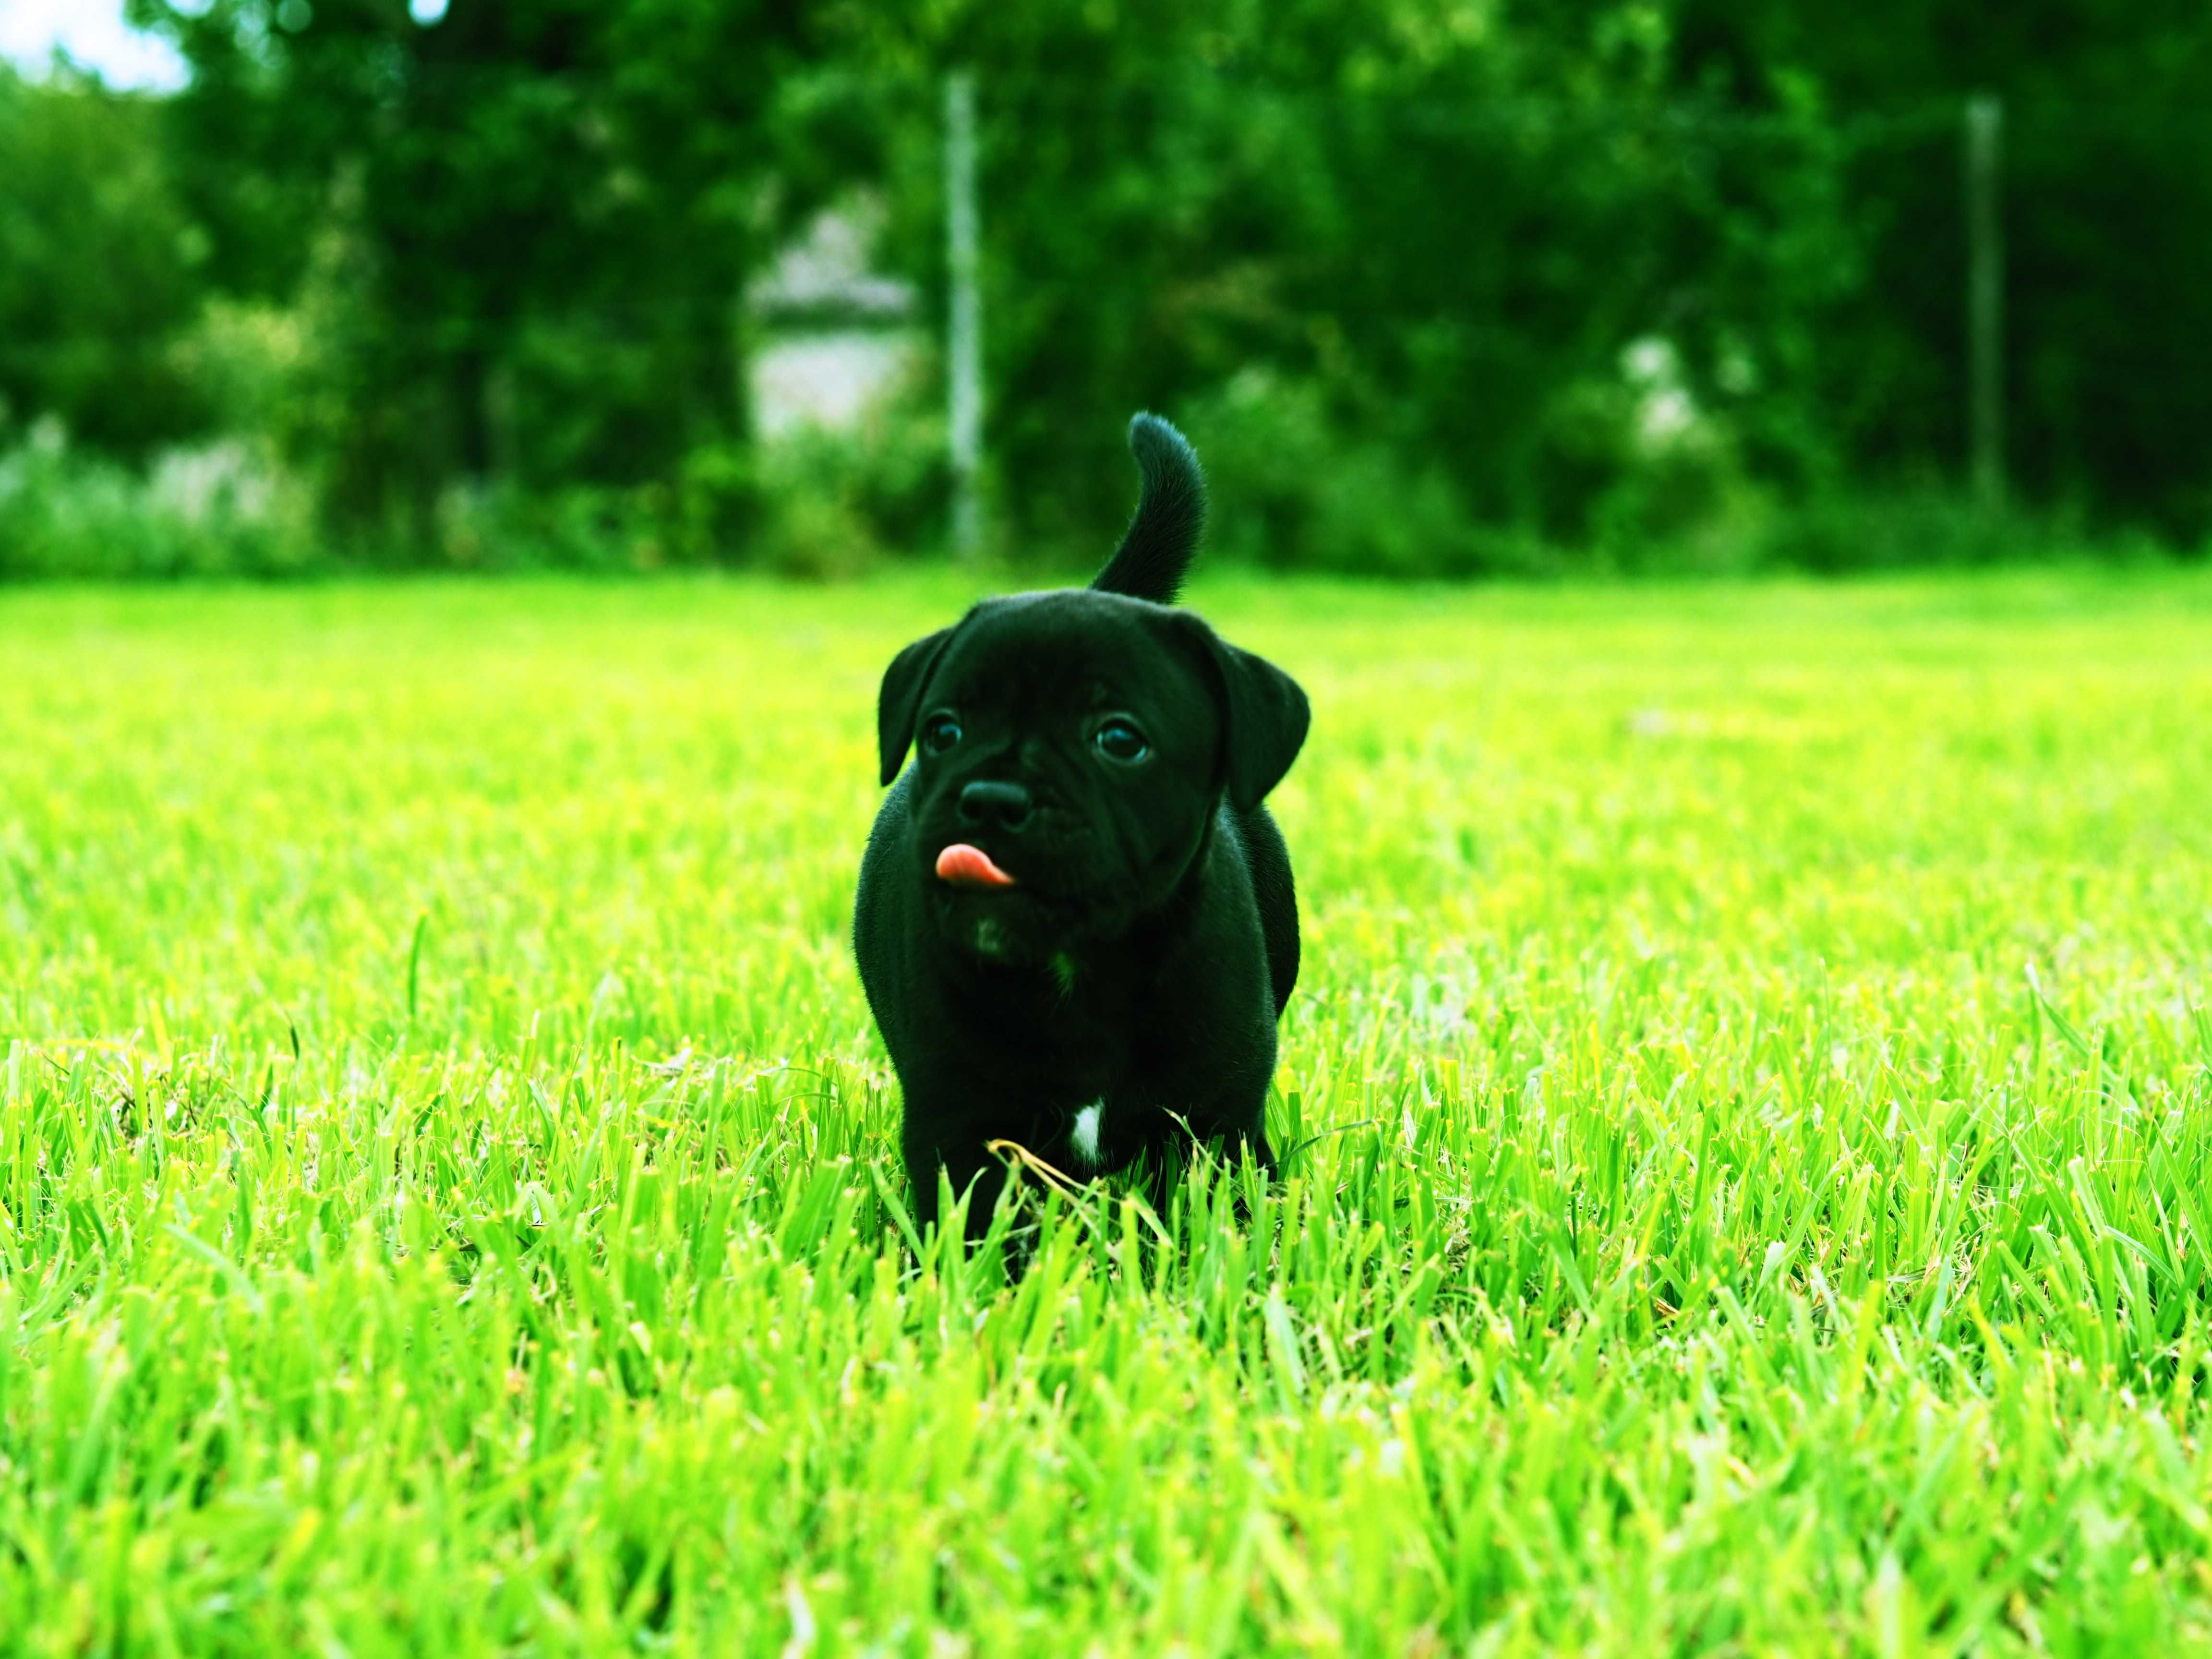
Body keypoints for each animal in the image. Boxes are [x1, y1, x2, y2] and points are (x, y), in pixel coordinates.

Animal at [849, 416, 1300, 1238]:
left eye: (1120, 739)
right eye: (943, 731)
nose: (993, 798)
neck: (1076, 963)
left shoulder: (1217, 1124)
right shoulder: (957, 1126)